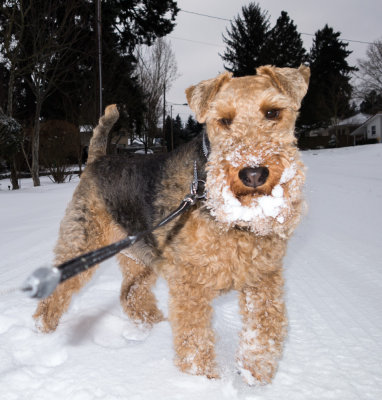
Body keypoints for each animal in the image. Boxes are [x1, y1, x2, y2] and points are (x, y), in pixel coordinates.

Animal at [33, 65, 310, 384]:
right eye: (224, 120)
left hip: (140, 257)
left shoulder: (263, 278)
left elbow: (265, 329)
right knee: (55, 295)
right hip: (81, 244)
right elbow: (195, 340)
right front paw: (201, 382)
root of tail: (96, 160)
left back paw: (151, 324)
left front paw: (254, 375)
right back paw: (42, 334)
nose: (253, 173)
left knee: (130, 294)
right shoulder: (190, 286)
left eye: (273, 112)